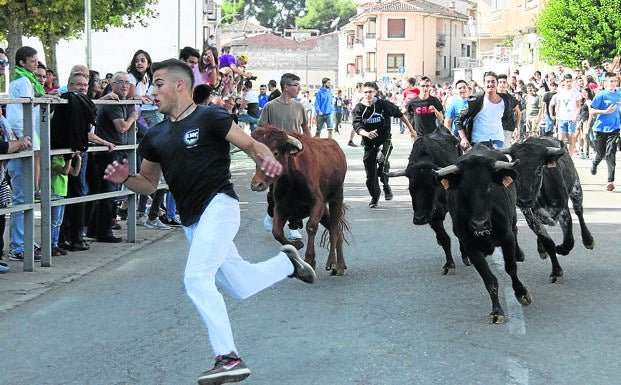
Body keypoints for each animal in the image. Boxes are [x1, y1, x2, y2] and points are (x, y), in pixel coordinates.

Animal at [251, 124, 348, 274]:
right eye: (256, 155)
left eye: (275, 153)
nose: (257, 184)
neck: (291, 181)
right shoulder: (281, 207)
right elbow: (276, 232)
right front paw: (296, 244)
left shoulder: (317, 203)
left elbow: (311, 227)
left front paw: (310, 260)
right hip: (324, 209)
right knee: (336, 230)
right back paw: (340, 265)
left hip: (336, 197)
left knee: (334, 228)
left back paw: (334, 263)